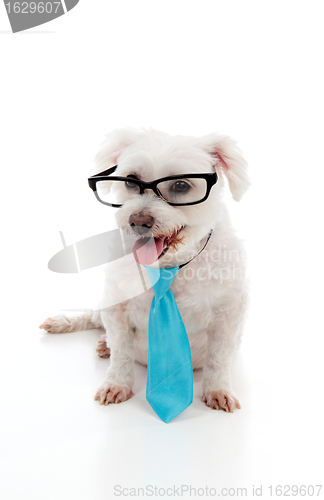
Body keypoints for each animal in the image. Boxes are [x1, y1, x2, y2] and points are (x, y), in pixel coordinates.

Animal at [39, 128, 249, 414]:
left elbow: (219, 358)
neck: (168, 267)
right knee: (93, 318)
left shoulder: (228, 316)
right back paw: (71, 326)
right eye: (130, 181)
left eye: (181, 186)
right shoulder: (116, 307)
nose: (138, 221)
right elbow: (121, 352)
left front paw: (218, 389)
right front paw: (117, 382)